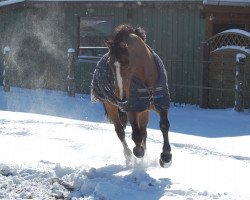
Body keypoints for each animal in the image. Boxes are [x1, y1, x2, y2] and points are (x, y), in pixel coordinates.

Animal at [92, 24, 172, 167]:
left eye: (126, 63)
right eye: (110, 64)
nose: (120, 96)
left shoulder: (161, 104)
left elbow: (164, 125)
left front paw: (166, 158)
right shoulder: (132, 108)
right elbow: (136, 135)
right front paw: (138, 152)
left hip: (144, 110)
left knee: (143, 131)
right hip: (111, 106)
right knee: (120, 131)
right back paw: (129, 155)